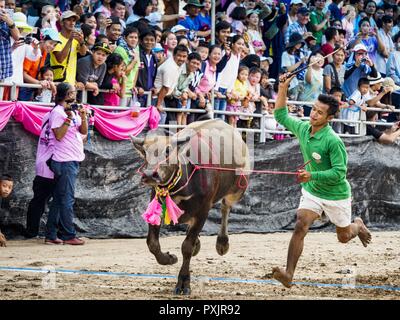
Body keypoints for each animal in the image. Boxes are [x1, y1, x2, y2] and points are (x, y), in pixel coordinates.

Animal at [131, 119, 250, 294]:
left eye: (168, 150)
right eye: (145, 152)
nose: (149, 175)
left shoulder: (203, 212)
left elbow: (186, 246)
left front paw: (183, 282)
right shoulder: (156, 207)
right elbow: (152, 243)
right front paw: (169, 258)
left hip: (238, 189)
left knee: (225, 207)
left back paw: (222, 242)